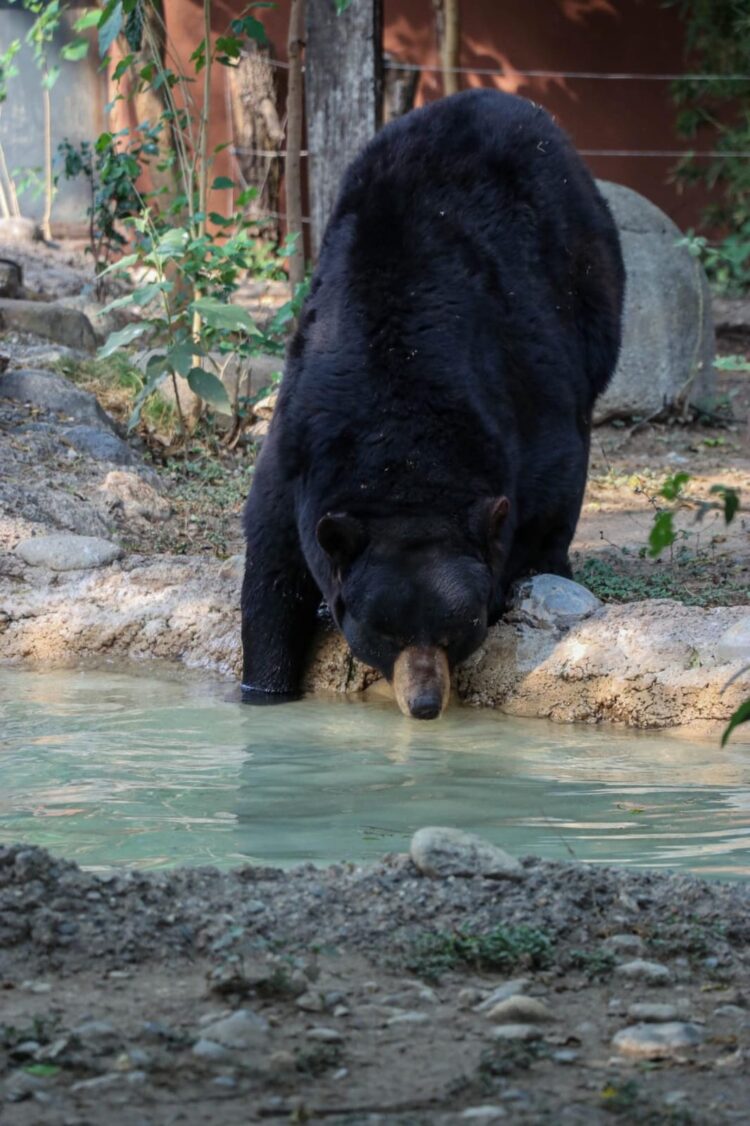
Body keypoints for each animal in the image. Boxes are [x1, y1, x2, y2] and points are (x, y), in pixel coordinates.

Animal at [242, 90, 621, 720]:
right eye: (384, 633)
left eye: (455, 630)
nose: (424, 703)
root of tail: (502, 99)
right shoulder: (298, 445)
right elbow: (273, 569)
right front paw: (263, 689)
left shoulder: (525, 388)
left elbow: (553, 482)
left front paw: (533, 570)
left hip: (589, 275)